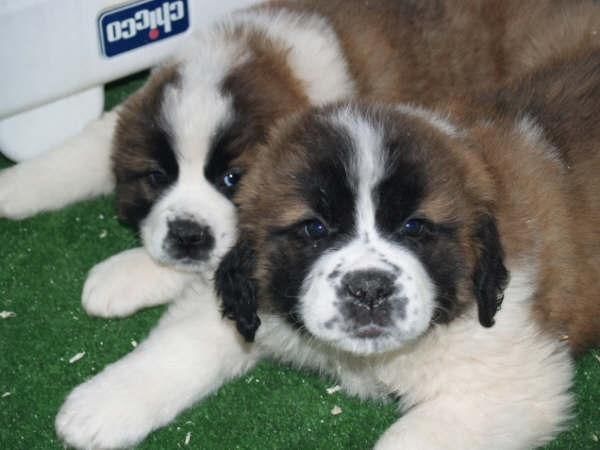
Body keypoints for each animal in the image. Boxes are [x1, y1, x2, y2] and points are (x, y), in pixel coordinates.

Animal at [1, 0, 600, 320]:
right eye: (155, 176)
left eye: (232, 178)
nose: (188, 236)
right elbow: (84, 147)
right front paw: (17, 186)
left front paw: (121, 275)